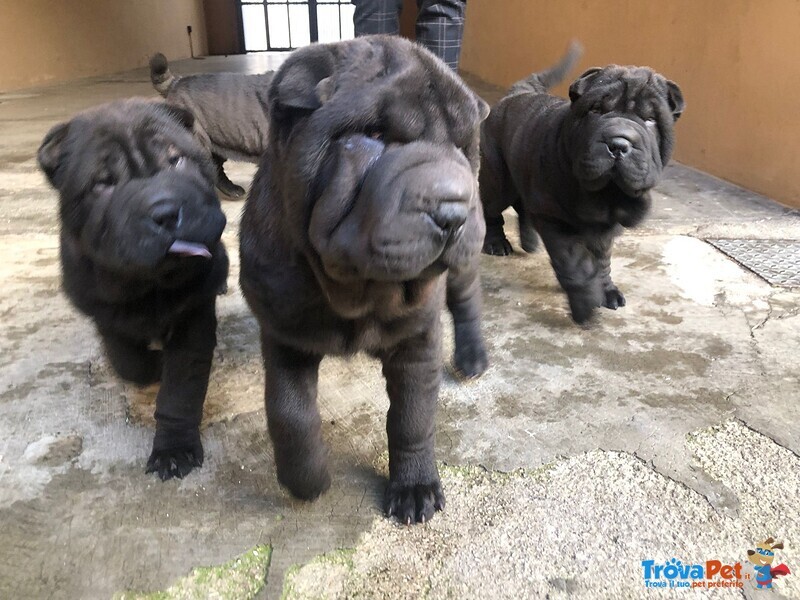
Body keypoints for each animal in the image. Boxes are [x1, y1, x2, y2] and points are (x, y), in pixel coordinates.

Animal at [39, 99, 230, 482]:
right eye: (103, 182)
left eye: (176, 160)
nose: (166, 212)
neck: (149, 285)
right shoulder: (99, 306)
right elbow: (127, 361)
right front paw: (152, 363)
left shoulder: (193, 311)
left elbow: (181, 388)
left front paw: (173, 450)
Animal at [239, 36, 488, 524]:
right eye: (374, 136)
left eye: (465, 147)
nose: (454, 210)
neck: (358, 290)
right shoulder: (284, 332)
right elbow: (289, 412)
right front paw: (308, 481)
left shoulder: (418, 338)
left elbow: (412, 416)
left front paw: (414, 489)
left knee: (467, 301)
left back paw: (472, 357)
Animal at [478, 43, 684, 324]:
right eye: (596, 110)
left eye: (650, 120)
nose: (618, 144)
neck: (604, 195)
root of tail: (515, 95)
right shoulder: (554, 219)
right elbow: (573, 261)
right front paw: (586, 300)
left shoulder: (605, 228)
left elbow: (602, 260)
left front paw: (607, 290)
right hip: (498, 181)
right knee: (492, 209)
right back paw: (496, 243)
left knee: (523, 208)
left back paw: (530, 242)